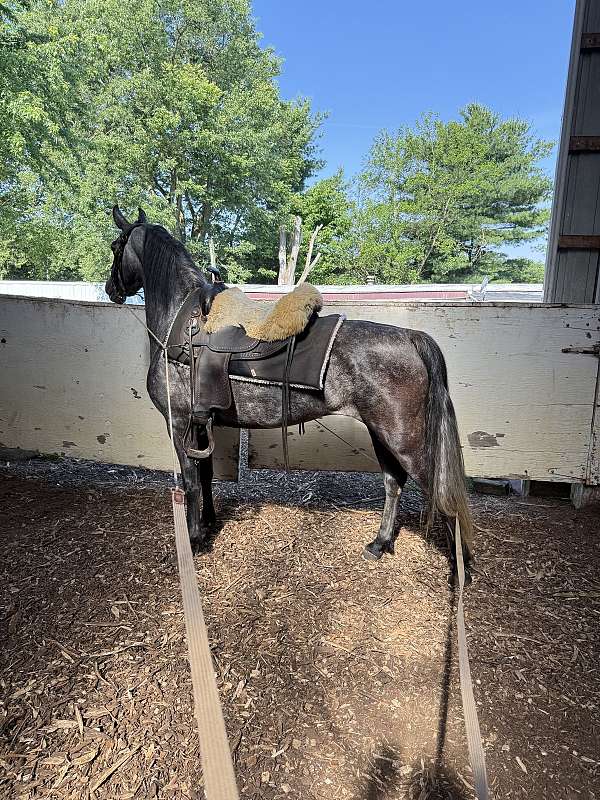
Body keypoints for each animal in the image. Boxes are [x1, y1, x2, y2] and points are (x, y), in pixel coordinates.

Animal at [105, 206, 474, 580]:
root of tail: (411, 337)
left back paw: (461, 571)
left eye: (115, 246)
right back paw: (380, 544)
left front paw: (193, 541)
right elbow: (205, 476)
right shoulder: (199, 424)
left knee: (441, 493)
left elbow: (192, 482)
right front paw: (208, 525)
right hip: (382, 435)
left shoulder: (179, 422)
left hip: (405, 441)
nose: (110, 288)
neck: (182, 324)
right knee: (393, 482)